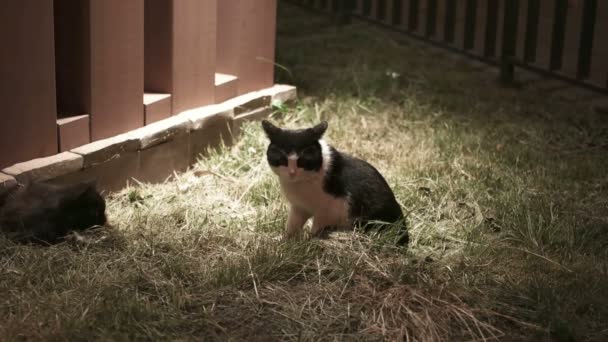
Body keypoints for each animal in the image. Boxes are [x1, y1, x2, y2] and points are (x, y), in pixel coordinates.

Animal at [262, 119, 408, 244]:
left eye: (303, 160)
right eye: (282, 159)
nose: (292, 172)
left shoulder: (332, 210)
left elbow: (316, 229)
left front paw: (309, 242)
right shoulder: (299, 207)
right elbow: (292, 226)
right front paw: (284, 241)